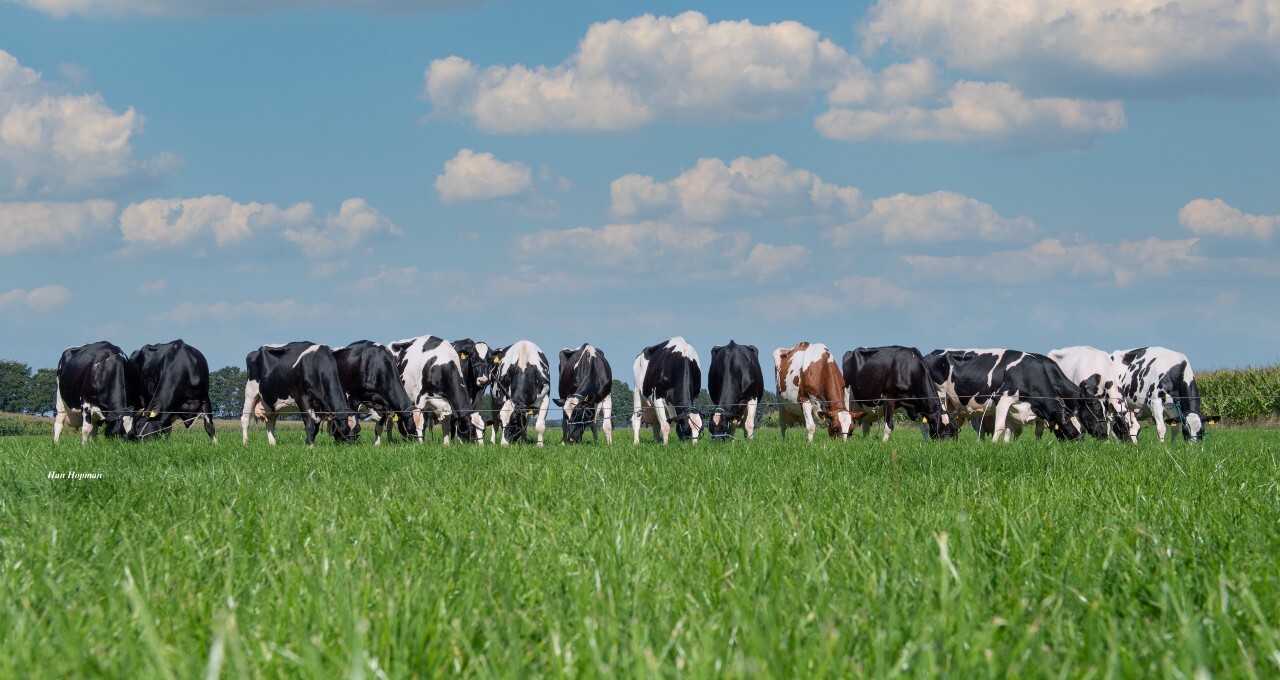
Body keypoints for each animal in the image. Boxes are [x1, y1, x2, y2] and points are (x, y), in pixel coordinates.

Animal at [921, 348, 1111, 445]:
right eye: (1096, 410)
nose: (1104, 434)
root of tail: (931, 353)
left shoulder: (1018, 408)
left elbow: (1011, 429)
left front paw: (1008, 445)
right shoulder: (1003, 399)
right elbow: (1000, 427)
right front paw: (994, 446)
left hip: (953, 405)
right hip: (937, 396)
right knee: (929, 421)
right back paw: (928, 442)